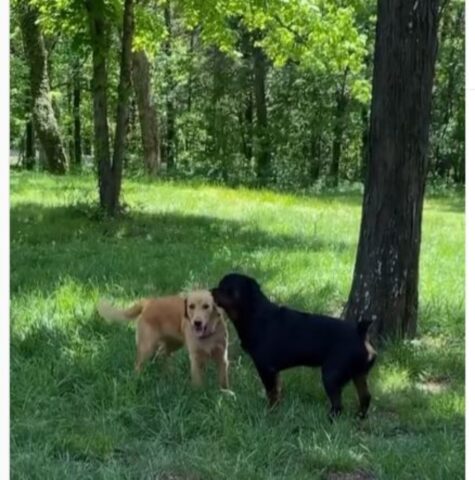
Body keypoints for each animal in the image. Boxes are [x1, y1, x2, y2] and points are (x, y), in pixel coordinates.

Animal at [96, 290, 229, 388]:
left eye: (206, 306)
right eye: (191, 306)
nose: (197, 323)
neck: (208, 335)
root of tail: (149, 302)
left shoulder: (222, 357)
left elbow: (223, 380)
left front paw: (224, 393)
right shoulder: (195, 358)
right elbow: (198, 381)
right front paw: (198, 394)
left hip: (173, 343)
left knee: (162, 354)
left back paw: (168, 375)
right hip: (147, 347)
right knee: (138, 365)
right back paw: (138, 381)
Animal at [214, 272, 378, 418]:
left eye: (226, 288)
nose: (212, 290)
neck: (253, 313)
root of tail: (361, 331)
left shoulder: (266, 368)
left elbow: (271, 393)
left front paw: (270, 412)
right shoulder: (274, 371)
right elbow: (277, 391)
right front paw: (276, 409)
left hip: (331, 375)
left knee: (338, 405)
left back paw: (330, 420)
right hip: (359, 374)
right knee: (365, 397)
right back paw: (360, 417)